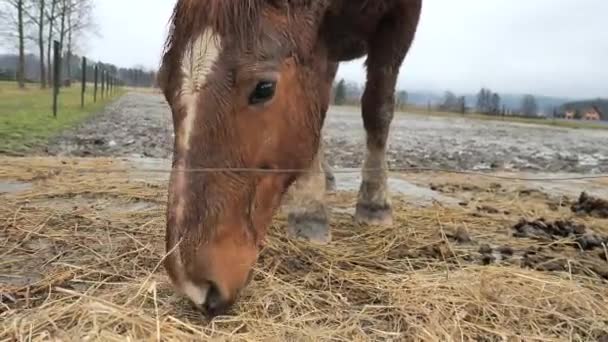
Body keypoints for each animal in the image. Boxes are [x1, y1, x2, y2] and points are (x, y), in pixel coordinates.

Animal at [158, 0, 422, 316]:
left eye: (264, 88)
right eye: (163, 85)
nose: (193, 284)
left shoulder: (402, 18)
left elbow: (378, 107)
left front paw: (375, 204)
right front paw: (309, 209)